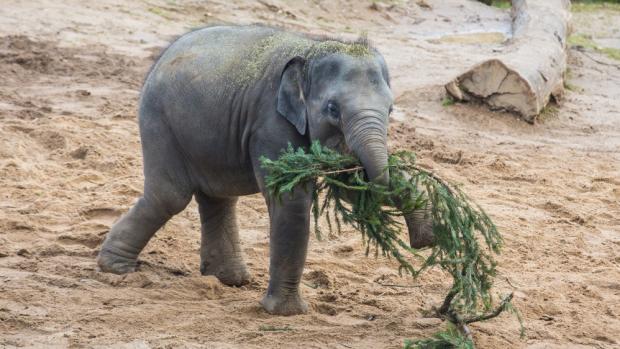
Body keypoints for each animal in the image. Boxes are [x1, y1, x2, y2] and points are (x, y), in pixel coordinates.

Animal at [95, 25, 432, 314]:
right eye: (332, 109)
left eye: (391, 110)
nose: (421, 242)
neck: (312, 48)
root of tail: (160, 57)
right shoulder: (271, 123)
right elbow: (292, 203)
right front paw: (286, 313)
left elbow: (348, 186)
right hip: (159, 120)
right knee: (170, 196)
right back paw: (114, 267)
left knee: (217, 197)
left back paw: (229, 279)